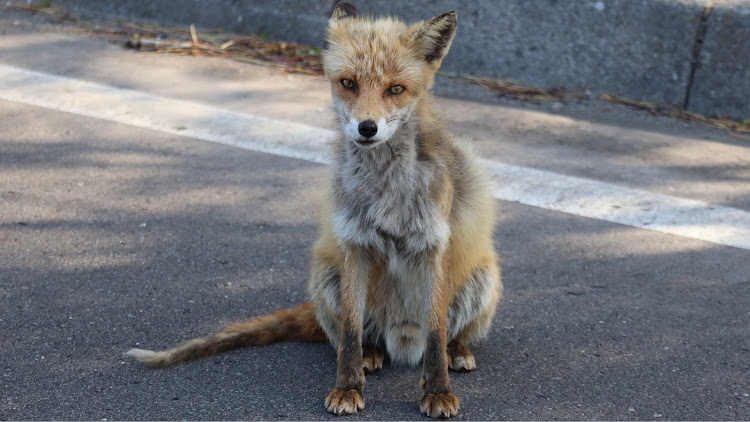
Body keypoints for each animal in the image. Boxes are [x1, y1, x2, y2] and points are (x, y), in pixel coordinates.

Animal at [126, 1, 506, 418]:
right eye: (348, 83)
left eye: (396, 89)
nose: (367, 128)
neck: (385, 188)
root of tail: (403, 339)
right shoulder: (355, 244)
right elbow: (351, 334)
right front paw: (347, 387)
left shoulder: (432, 245)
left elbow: (436, 334)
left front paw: (437, 391)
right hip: (327, 275)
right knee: (349, 336)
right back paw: (371, 354)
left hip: (482, 279)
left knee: (446, 335)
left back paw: (457, 351)